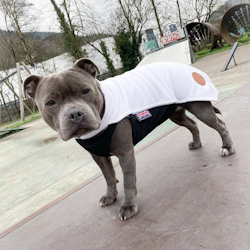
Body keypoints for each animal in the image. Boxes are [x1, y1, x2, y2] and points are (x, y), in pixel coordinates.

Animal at [23, 58, 234, 221]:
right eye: (50, 102)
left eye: (85, 91)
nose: (75, 114)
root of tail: (185, 67)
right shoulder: (98, 155)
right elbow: (109, 176)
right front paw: (110, 196)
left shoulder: (125, 153)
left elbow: (128, 181)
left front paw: (129, 206)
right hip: (176, 113)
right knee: (192, 124)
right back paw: (197, 144)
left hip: (200, 107)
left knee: (220, 125)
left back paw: (227, 147)